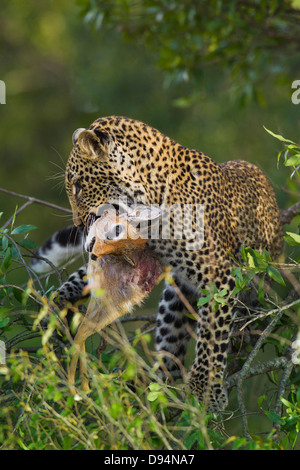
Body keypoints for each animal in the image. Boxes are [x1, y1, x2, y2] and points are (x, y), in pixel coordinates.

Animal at [31, 115, 284, 410]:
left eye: (79, 186)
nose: (78, 223)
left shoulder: (219, 274)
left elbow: (212, 335)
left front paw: (205, 388)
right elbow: (86, 272)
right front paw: (58, 301)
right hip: (173, 302)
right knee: (169, 351)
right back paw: (154, 390)